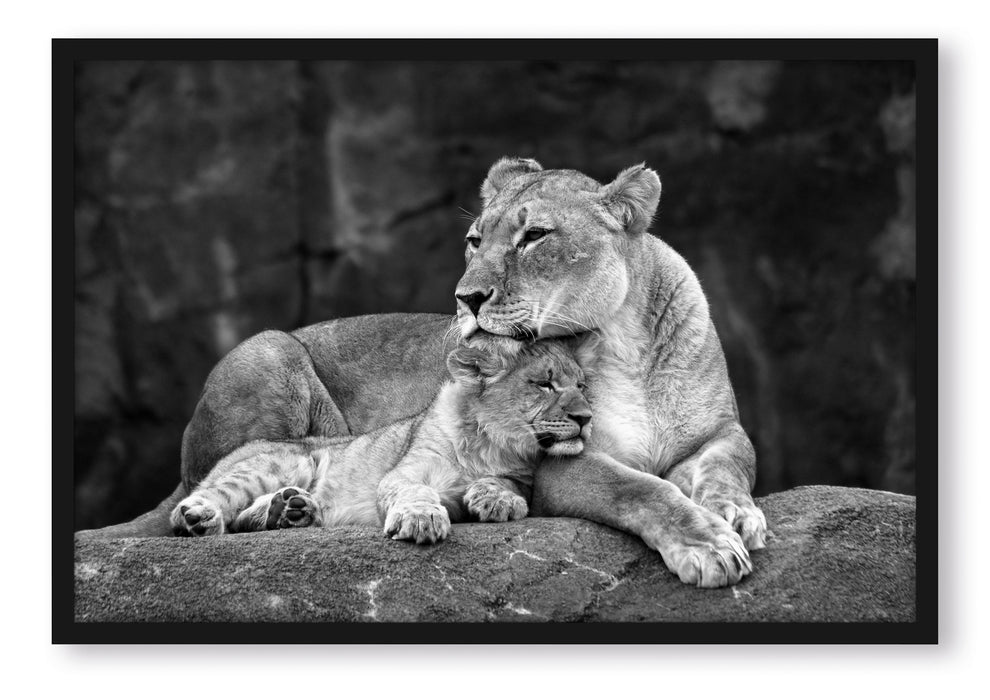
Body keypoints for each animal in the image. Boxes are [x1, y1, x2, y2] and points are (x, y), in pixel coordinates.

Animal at [169, 337, 593, 545]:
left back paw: (290, 510)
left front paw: (496, 499)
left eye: (582, 386)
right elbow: (414, 491)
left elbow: (508, 484)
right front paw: (421, 520)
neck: (490, 444)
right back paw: (200, 519)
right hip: (285, 461)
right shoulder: (402, 473)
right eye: (544, 384)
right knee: (204, 503)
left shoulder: (520, 476)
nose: (586, 418)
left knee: (245, 515)